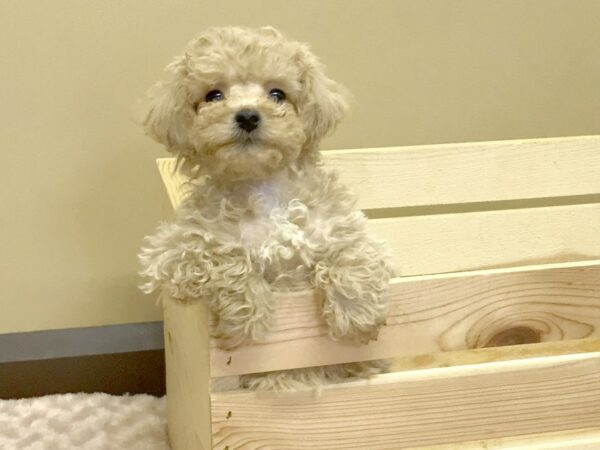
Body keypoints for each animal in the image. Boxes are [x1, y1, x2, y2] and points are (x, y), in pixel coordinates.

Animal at [139, 25, 394, 390]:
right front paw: (245, 317)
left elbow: (354, 253)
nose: (247, 115)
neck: (261, 185)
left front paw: (356, 314)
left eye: (277, 94)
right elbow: (222, 253)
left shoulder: (344, 227)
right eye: (214, 95)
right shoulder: (169, 253)